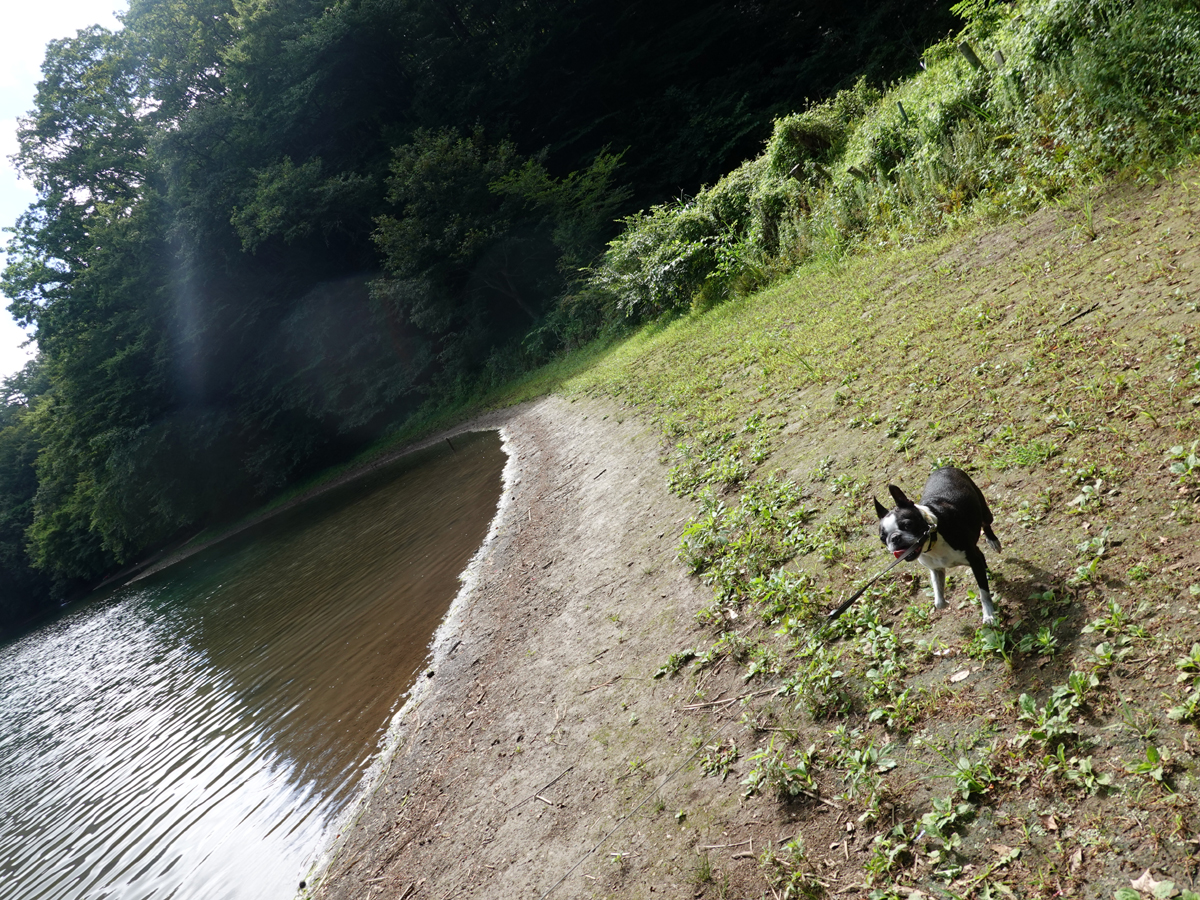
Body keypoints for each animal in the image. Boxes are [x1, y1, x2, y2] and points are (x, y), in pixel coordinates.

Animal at [873, 468, 1003, 624]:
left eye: (908, 525)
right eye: (882, 538)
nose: (894, 538)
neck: (933, 540)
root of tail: (945, 467)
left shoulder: (972, 557)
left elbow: (983, 593)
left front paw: (988, 614)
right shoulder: (936, 569)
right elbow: (938, 600)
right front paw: (944, 602)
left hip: (984, 512)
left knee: (986, 524)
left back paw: (993, 540)